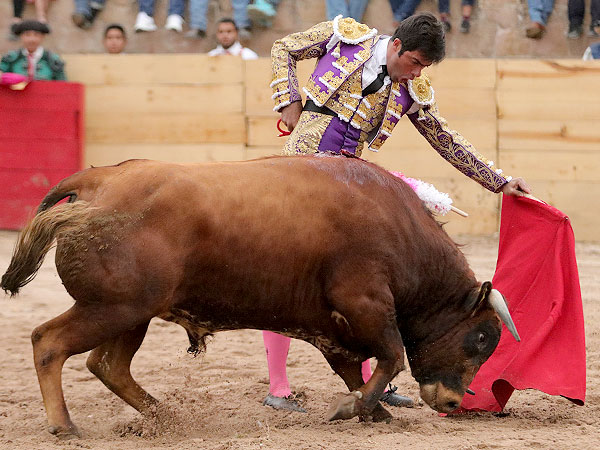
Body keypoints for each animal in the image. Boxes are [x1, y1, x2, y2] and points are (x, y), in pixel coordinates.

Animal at [0, 156, 516, 438]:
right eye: (481, 338)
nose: (453, 402)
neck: (398, 228)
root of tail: (96, 182)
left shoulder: (334, 326)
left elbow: (357, 368)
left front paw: (375, 413)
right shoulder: (365, 302)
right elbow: (391, 357)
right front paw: (355, 409)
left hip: (132, 314)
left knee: (107, 365)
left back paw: (164, 416)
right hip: (112, 308)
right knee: (49, 343)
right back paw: (65, 426)